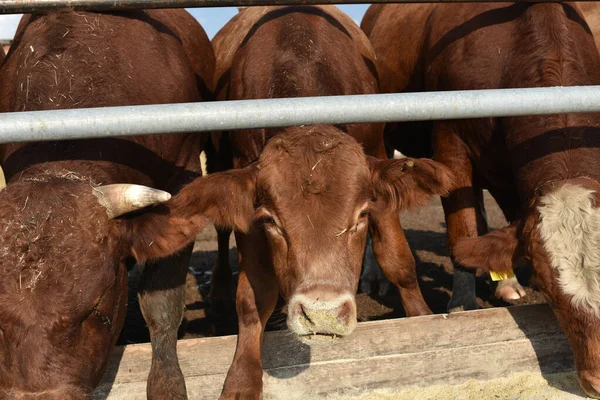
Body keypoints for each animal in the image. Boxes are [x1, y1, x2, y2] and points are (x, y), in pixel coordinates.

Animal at [364, 3, 600, 396]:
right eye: (551, 295)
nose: (596, 382)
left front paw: (506, 281)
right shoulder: (451, 142)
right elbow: (461, 229)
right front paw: (462, 303)